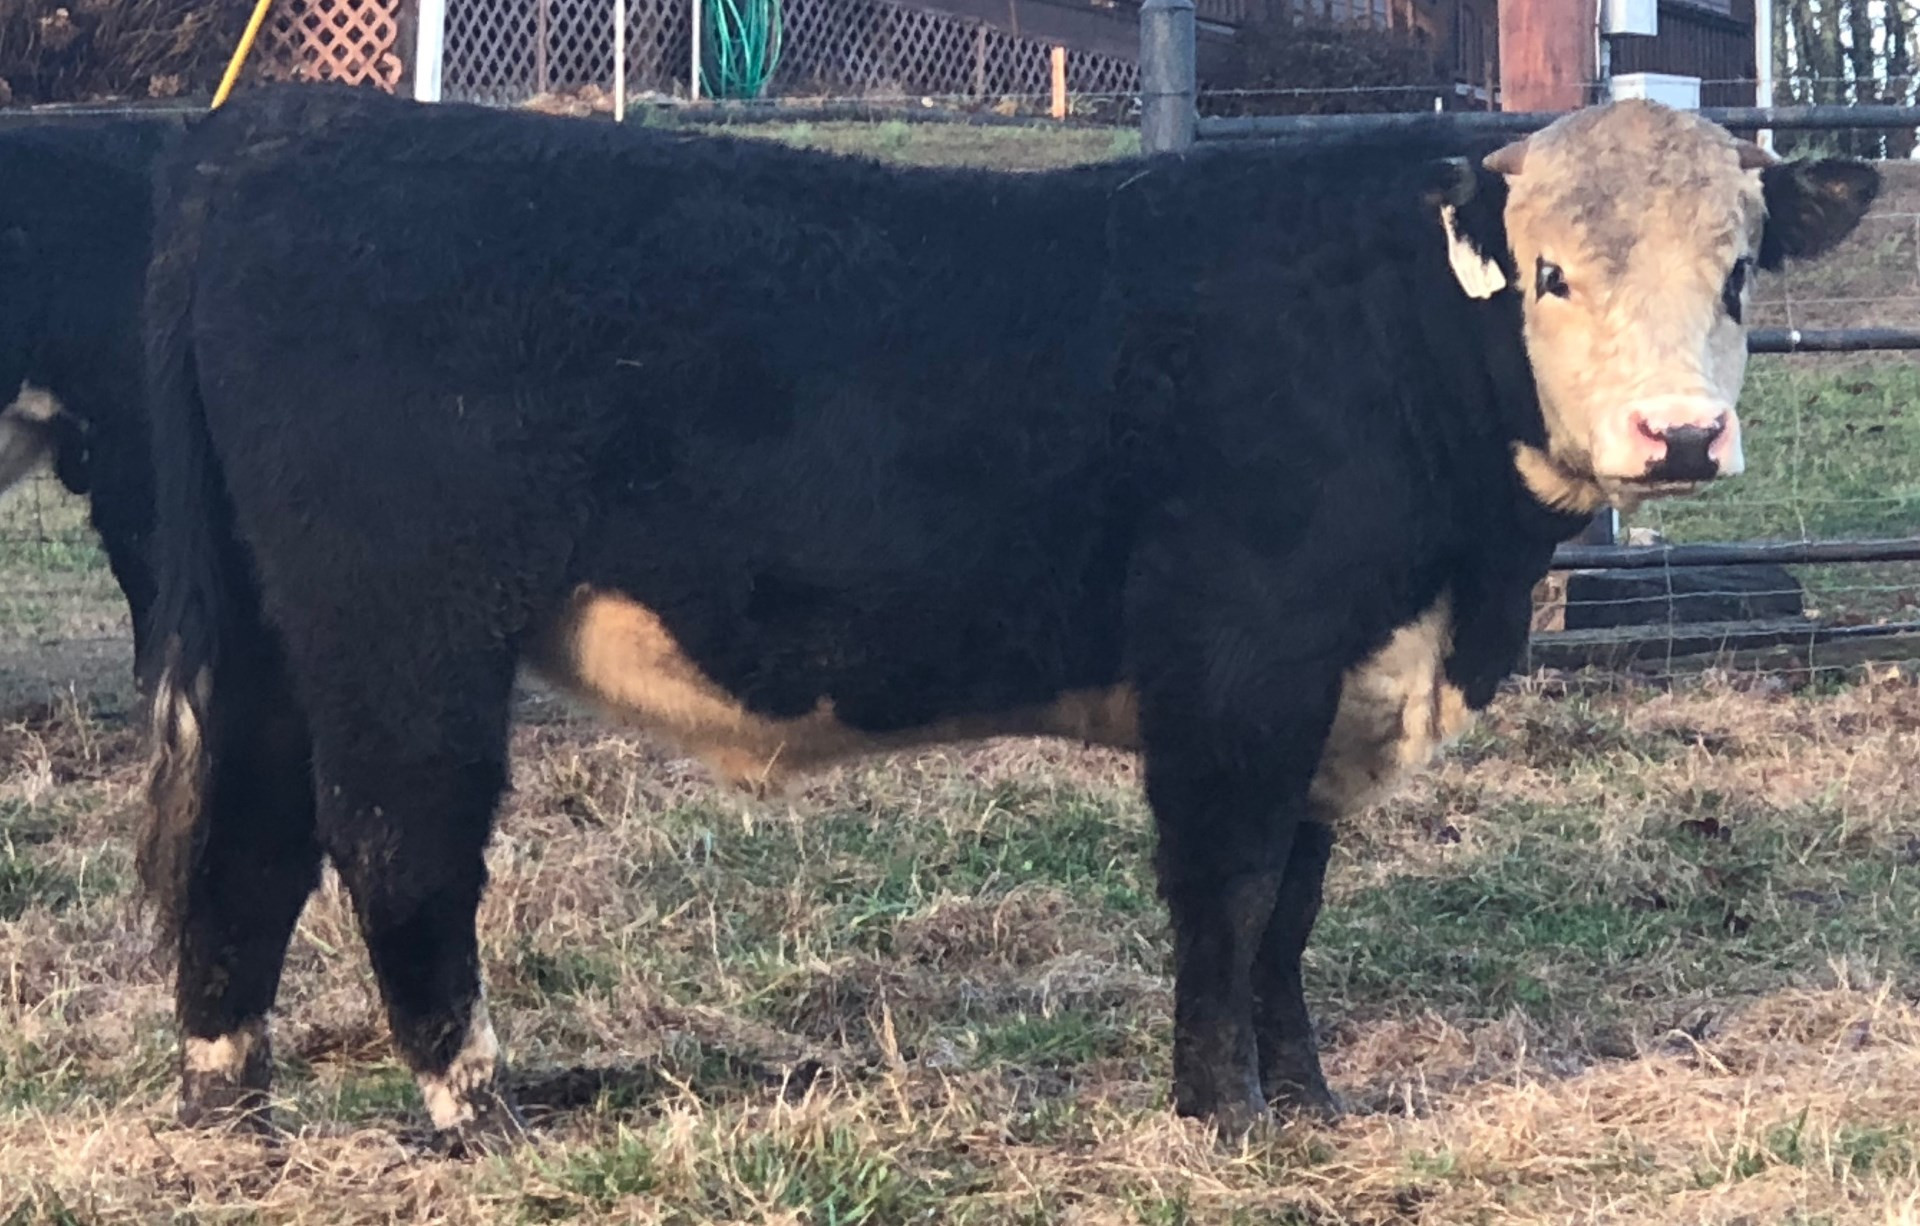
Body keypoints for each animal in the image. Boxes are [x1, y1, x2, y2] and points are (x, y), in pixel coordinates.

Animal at [133, 83, 1877, 1150]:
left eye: (1738, 276)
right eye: (1550, 276)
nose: (1679, 437)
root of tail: (278, 137)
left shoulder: (1332, 678)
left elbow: (1297, 904)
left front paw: (1306, 1098)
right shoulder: (1240, 664)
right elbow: (1232, 888)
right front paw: (1223, 1110)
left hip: (281, 636)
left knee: (252, 837)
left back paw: (232, 1095)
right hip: (408, 628)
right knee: (393, 838)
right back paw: (472, 1108)